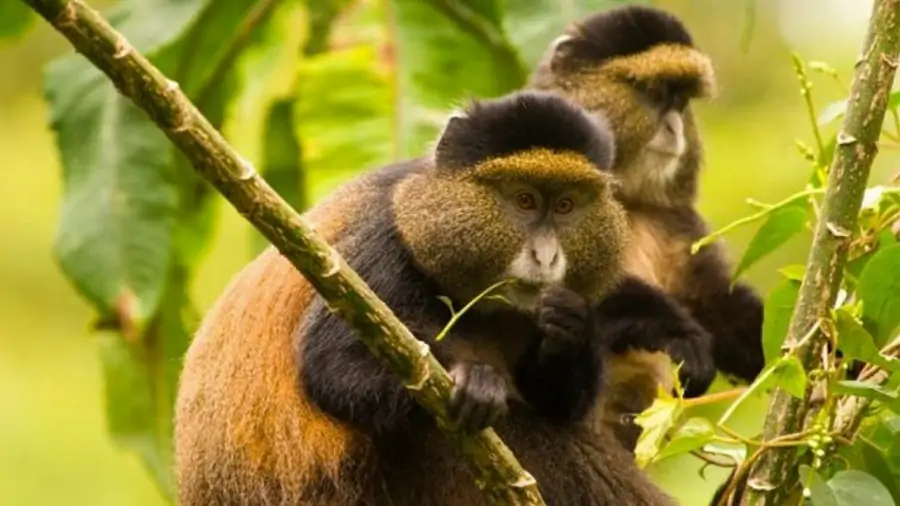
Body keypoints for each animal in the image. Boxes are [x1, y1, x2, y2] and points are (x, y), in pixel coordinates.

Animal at [174, 90, 714, 505]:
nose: (545, 257)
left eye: (565, 205)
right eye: (523, 200)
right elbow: (333, 366)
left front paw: (573, 328)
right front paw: (476, 384)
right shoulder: (381, 244)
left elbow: (560, 399)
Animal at [528, 6, 765, 434]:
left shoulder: (677, 224)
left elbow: (717, 301)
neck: (626, 200)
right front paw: (676, 331)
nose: (674, 128)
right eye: (654, 94)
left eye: (681, 100)